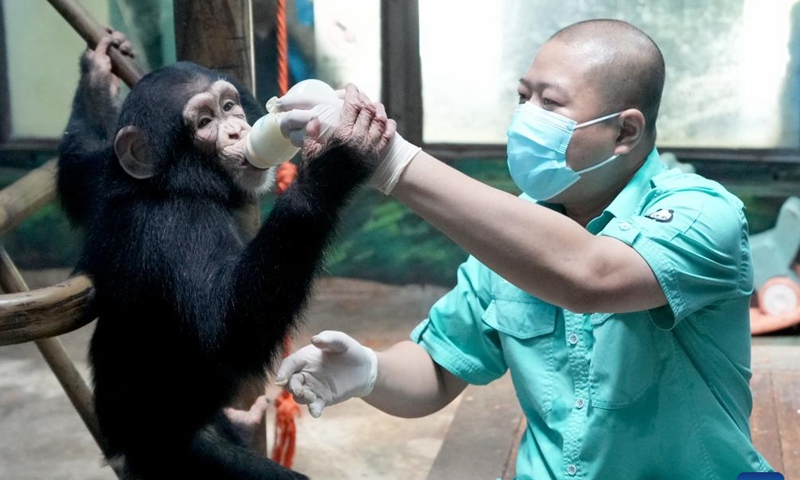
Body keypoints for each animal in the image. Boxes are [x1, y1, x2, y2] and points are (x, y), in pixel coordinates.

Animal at [57, 34, 393, 480]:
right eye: (203, 123)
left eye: (229, 106)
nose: (236, 131)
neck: (178, 185)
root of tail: (121, 453)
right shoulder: (181, 228)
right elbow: (229, 328)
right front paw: (335, 161)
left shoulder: (98, 184)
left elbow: (79, 164)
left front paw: (97, 78)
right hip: (183, 459)